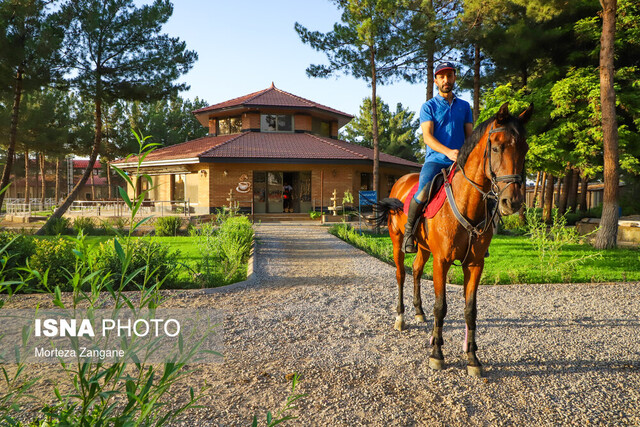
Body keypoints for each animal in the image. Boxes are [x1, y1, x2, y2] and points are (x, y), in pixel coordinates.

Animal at [372, 103, 532, 378]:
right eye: (497, 147)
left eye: (525, 148)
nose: (511, 202)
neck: (467, 203)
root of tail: (401, 181)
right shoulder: (442, 261)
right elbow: (441, 306)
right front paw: (437, 354)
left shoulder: (475, 264)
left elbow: (470, 310)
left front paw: (472, 357)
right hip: (397, 243)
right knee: (402, 274)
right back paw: (401, 318)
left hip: (424, 249)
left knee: (416, 270)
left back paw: (418, 312)